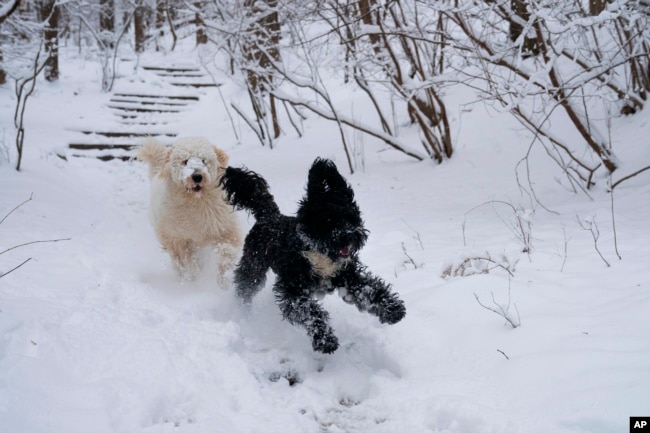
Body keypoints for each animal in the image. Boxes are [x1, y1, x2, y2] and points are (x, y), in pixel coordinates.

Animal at [137, 135, 240, 284]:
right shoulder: (179, 237)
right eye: (185, 161)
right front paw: (195, 270)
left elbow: (228, 248)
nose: (197, 176)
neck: (196, 201)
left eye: (203, 160)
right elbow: (187, 258)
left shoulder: (223, 226)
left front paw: (224, 273)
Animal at [220, 157, 402, 352]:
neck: (321, 254)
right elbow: (310, 312)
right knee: (244, 289)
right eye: (329, 220)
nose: (350, 235)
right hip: (253, 267)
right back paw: (244, 314)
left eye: (351, 217)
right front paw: (325, 340)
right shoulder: (292, 290)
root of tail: (269, 215)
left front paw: (393, 309)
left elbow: (370, 289)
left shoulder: (348, 277)